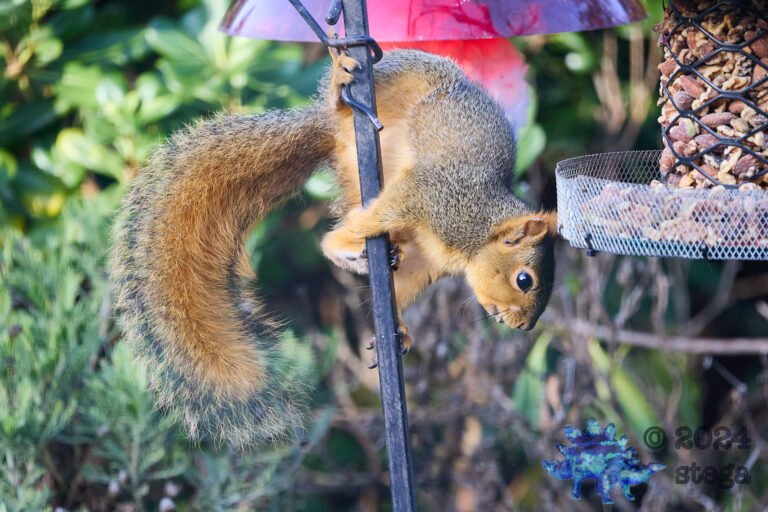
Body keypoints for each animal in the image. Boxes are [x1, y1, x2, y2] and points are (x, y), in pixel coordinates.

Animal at [109, 48, 557, 447]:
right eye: (525, 280)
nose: (519, 327)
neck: (480, 230)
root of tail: (326, 130)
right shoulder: (435, 197)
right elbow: (388, 210)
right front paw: (348, 240)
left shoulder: (426, 258)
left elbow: (403, 284)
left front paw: (399, 329)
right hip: (393, 83)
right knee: (344, 125)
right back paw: (340, 100)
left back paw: (372, 254)